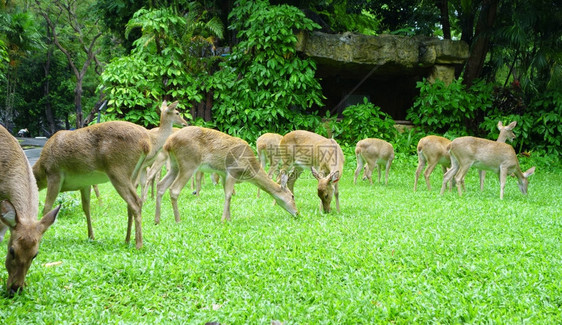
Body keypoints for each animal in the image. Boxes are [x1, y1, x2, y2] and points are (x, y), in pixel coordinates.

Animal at [151, 126, 296, 223]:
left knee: (161, 185)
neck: (248, 170)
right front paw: (223, 220)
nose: (297, 213)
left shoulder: (223, 174)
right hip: (188, 163)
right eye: (292, 196)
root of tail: (168, 142)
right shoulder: (232, 171)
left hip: (174, 164)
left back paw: (157, 220)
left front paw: (229, 218)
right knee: (174, 189)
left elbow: (228, 194)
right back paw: (178, 220)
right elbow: (228, 195)